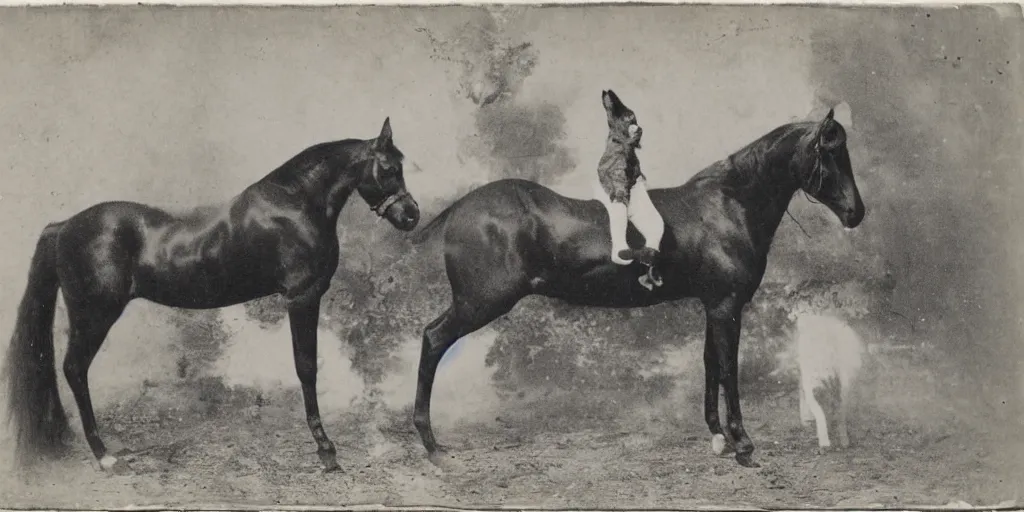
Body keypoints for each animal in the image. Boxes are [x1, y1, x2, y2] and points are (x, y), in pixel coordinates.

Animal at [409, 109, 864, 468]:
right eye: (829, 153)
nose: (856, 212)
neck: (727, 206)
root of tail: (462, 207)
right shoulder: (727, 306)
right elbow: (728, 371)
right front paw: (742, 444)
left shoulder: (712, 307)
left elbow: (709, 365)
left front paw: (717, 436)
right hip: (479, 303)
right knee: (433, 339)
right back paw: (430, 444)